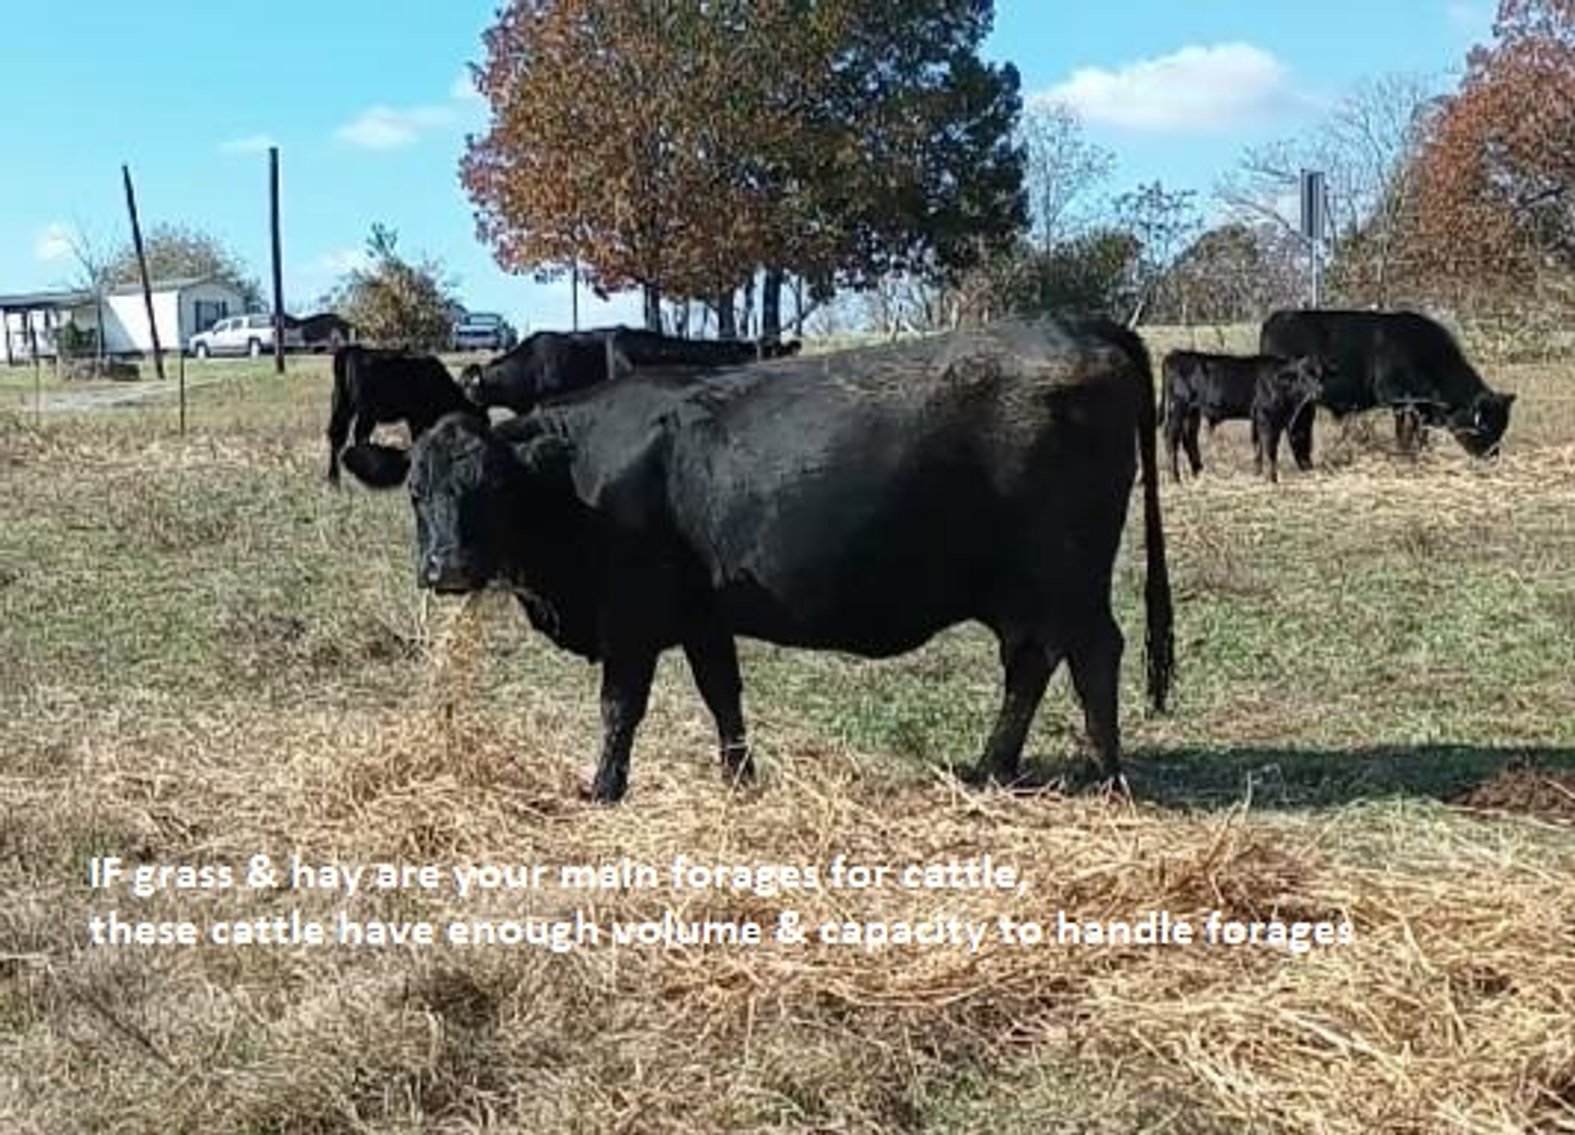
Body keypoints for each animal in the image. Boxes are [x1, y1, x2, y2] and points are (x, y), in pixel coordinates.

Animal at [325, 345, 480, 486]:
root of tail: (352, 350)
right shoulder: (416, 416)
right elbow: (418, 438)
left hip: (346, 406)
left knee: (346, 437)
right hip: (362, 411)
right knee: (350, 437)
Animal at [1158, 351, 1325, 483]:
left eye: (1320, 374)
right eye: (1303, 375)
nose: (1319, 391)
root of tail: (1174, 354)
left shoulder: (1258, 417)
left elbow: (1258, 445)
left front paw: (1258, 474)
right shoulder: (1267, 415)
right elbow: (1270, 447)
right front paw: (1272, 478)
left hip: (1192, 412)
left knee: (1189, 439)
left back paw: (1198, 473)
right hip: (1179, 407)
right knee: (1171, 437)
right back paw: (1175, 478)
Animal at [1259, 309, 1516, 464]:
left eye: (1503, 427)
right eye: (1485, 425)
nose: (1492, 457)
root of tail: (1279, 316)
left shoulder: (1420, 406)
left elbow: (1420, 433)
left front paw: (1420, 453)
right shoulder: (1400, 400)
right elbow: (1403, 432)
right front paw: (1405, 455)